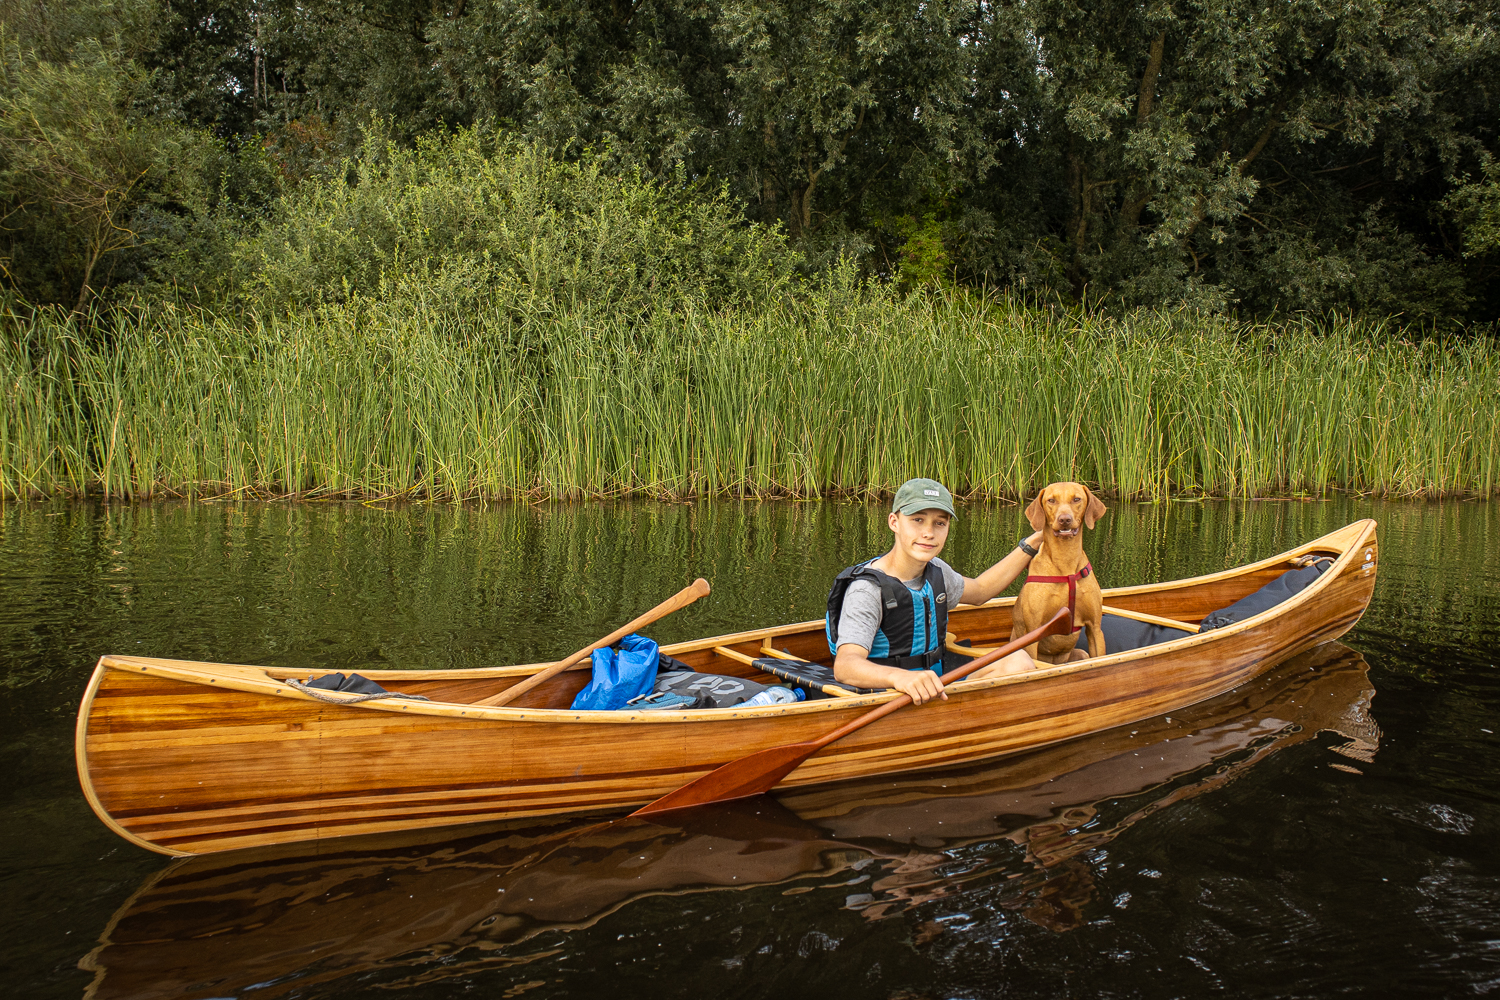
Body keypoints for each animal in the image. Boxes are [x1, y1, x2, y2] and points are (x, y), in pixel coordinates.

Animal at [1014, 485, 1110, 665]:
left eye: (1077, 499)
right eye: (1051, 500)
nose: (1064, 519)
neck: (1066, 564)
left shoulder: (1095, 628)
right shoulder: (1033, 631)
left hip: (1081, 654)